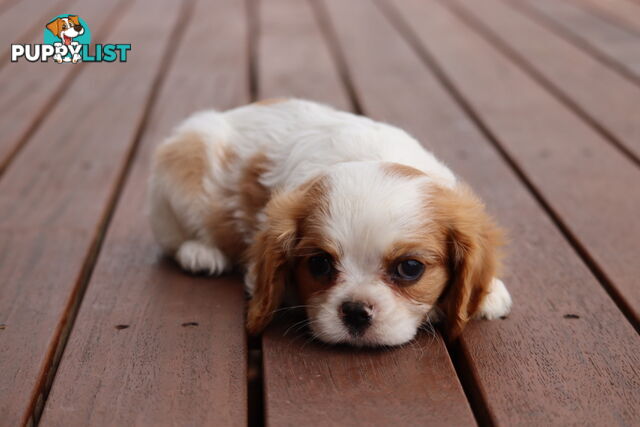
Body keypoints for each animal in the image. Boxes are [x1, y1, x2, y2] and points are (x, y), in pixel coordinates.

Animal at [149, 100, 510, 348]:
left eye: (410, 268)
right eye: (319, 264)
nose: (355, 311)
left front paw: (488, 293)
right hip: (182, 183)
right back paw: (201, 252)